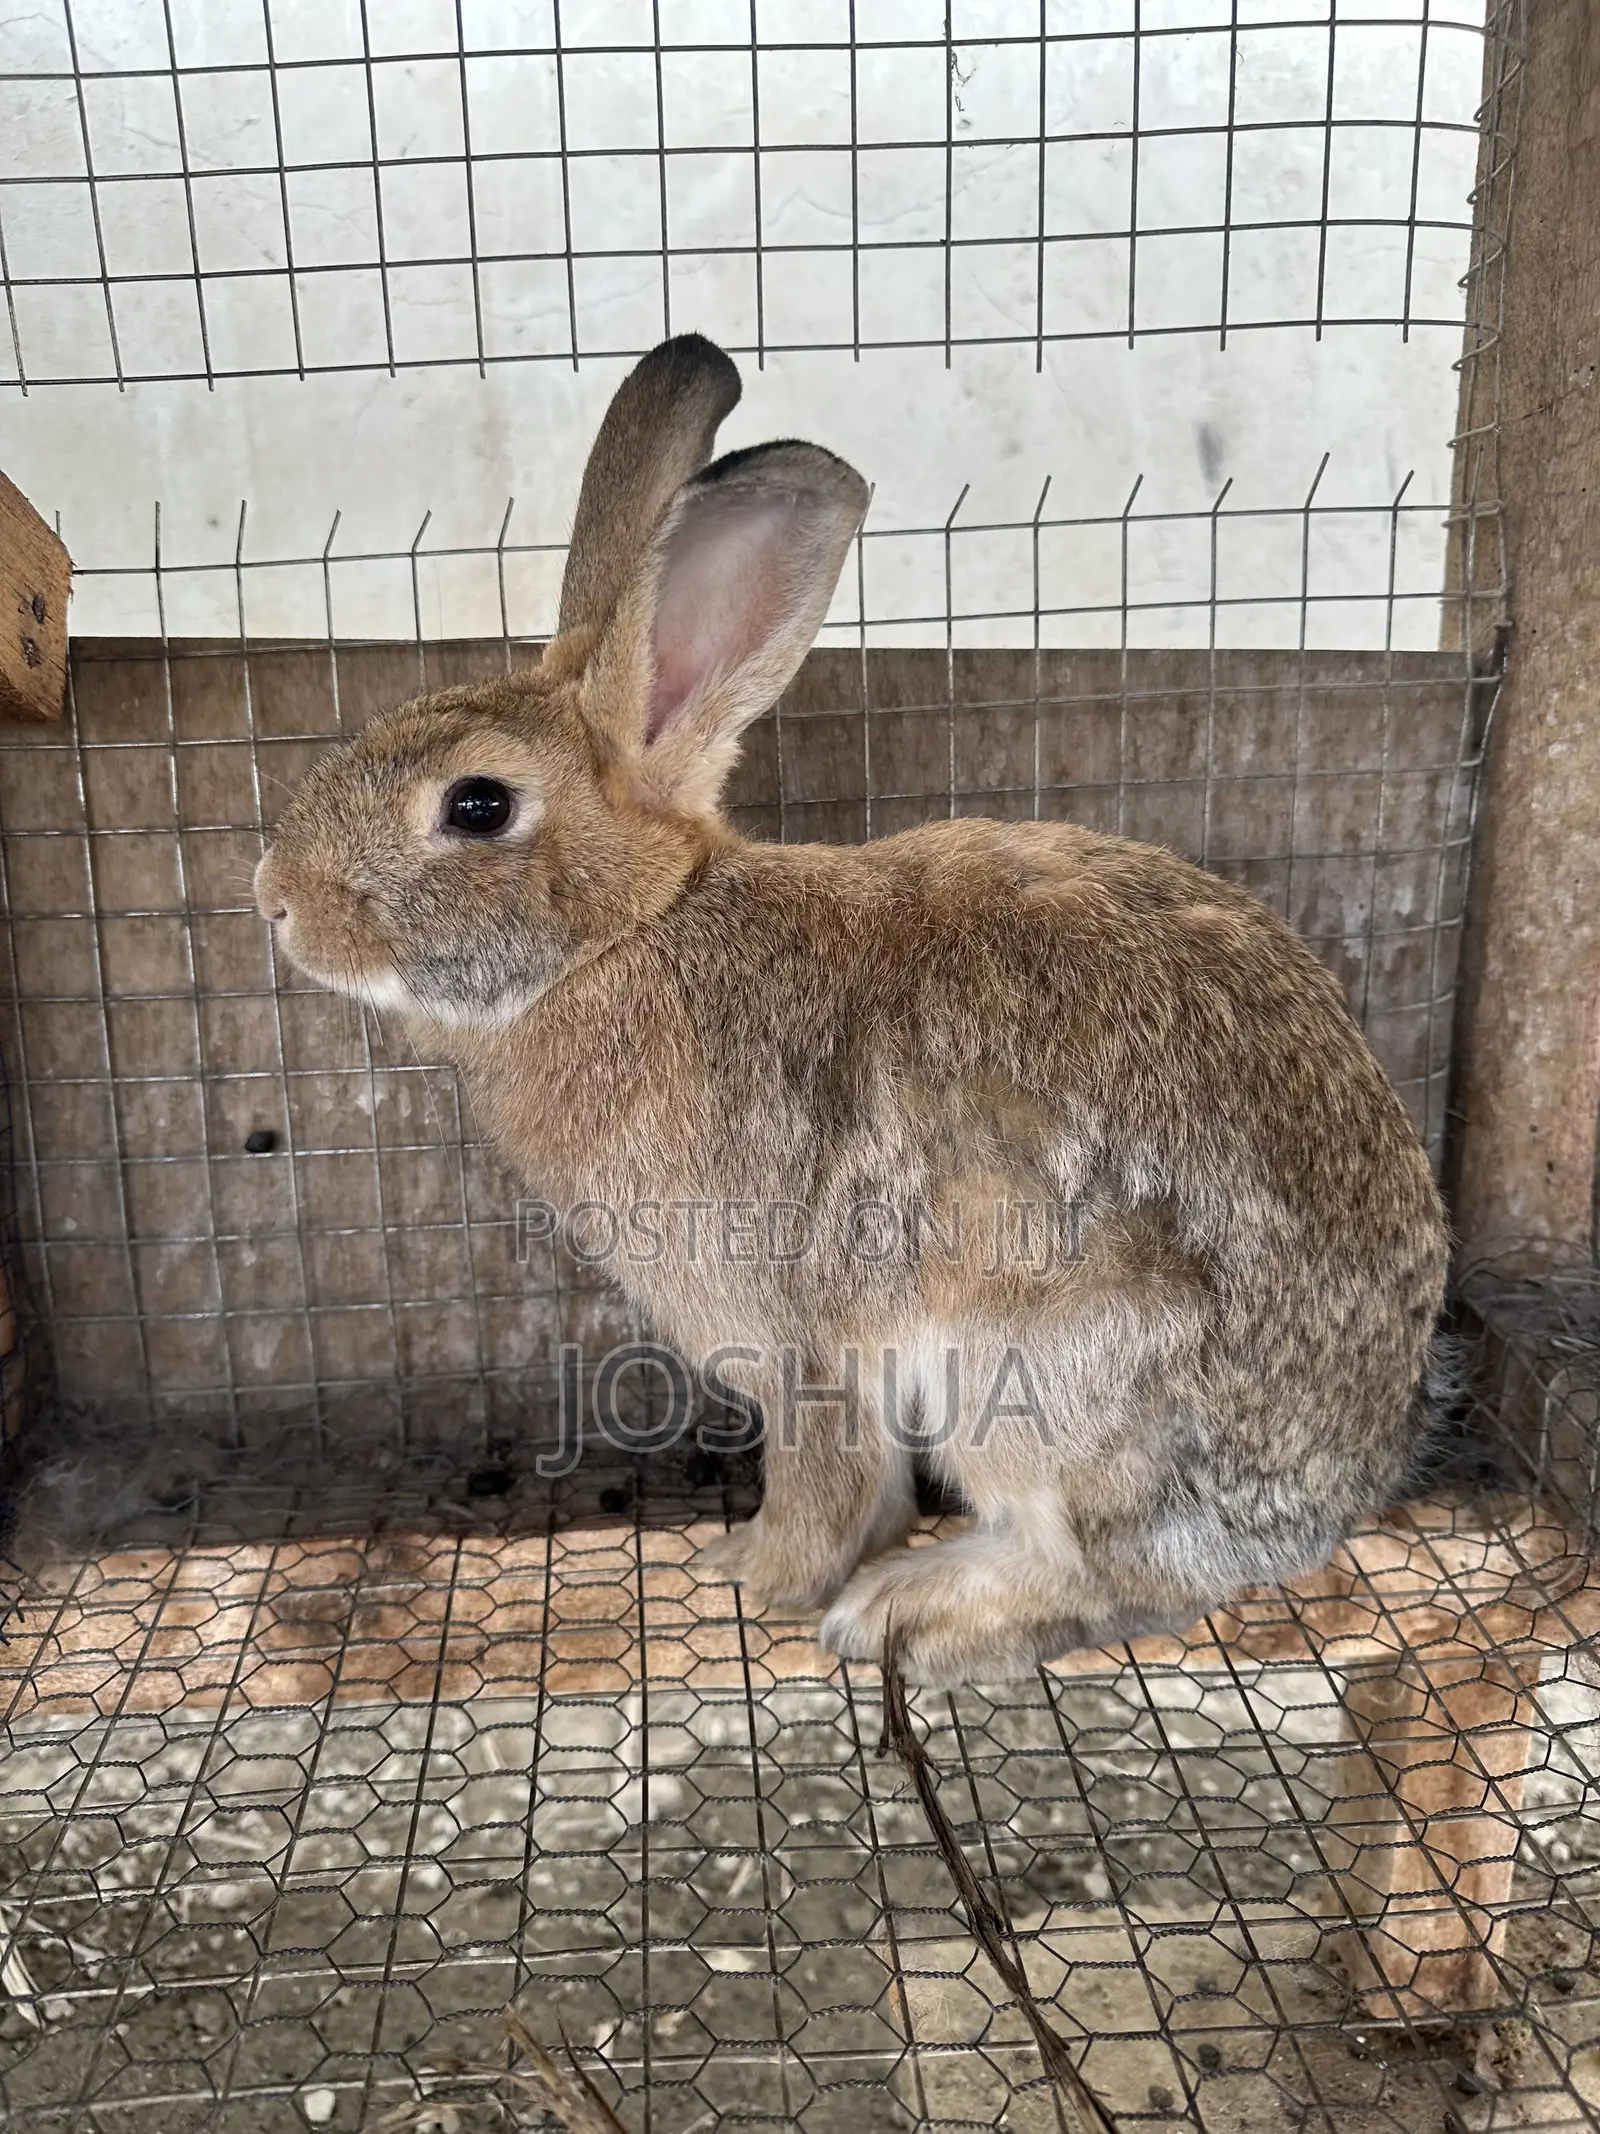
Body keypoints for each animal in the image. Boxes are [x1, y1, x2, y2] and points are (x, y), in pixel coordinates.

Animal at [256, 332, 1449, 1687]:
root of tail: (1329, 1487)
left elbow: (822, 1480)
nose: (274, 900)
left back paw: (915, 1611)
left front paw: (750, 1577)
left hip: (1039, 1376)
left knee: (1111, 1576)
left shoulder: (803, 1340)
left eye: (475, 806)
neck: (630, 933)